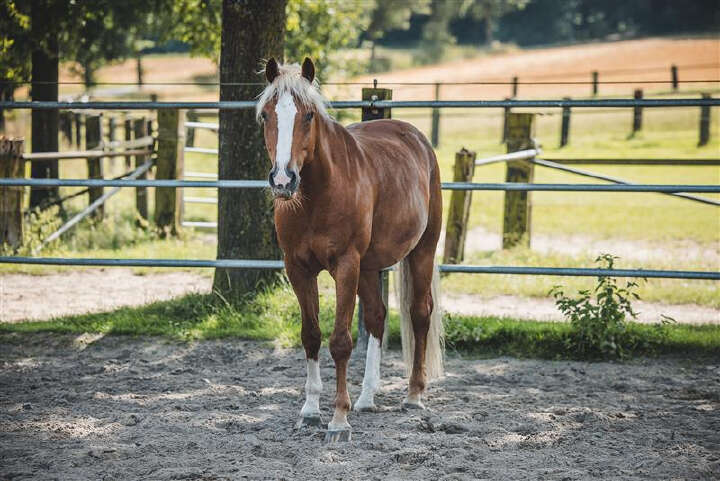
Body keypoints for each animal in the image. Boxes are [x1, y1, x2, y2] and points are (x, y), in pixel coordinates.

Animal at [257, 57, 444, 442]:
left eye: (309, 115)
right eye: (266, 115)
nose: (283, 180)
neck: (316, 196)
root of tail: (417, 138)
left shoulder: (345, 265)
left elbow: (340, 341)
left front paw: (338, 419)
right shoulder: (298, 269)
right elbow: (311, 335)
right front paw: (310, 411)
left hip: (421, 250)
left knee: (419, 314)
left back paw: (414, 395)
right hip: (369, 268)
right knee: (376, 317)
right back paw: (367, 398)